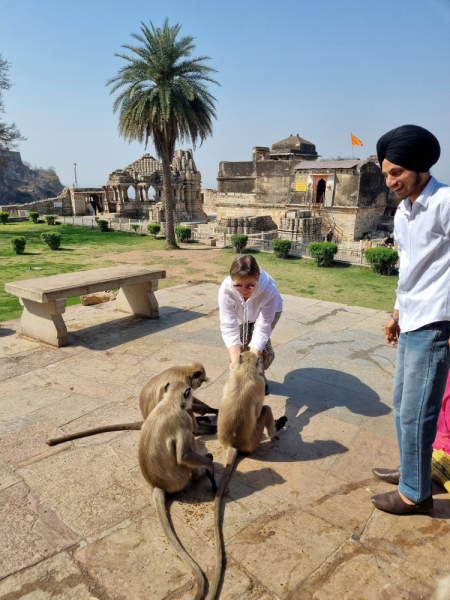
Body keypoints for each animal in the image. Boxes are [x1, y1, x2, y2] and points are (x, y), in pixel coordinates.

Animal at [46, 360, 219, 446]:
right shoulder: (182, 383)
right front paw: (207, 411)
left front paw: (212, 409)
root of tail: (145, 419)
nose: (200, 385)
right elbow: (184, 402)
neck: (183, 372)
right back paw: (200, 428)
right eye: (201, 381)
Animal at [141, 380, 218, 600]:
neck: (169, 402)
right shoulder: (183, 419)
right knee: (189, 443)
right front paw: (210, 467)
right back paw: (201, 473)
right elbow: (183, 455)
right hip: (181, 477)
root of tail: (157, 485)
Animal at [206, 352, 286, 600]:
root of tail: (234, 444)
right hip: (254, 438)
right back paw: (275, 430)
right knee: (266, 410)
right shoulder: (259, 385)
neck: (246, 371)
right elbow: (261, 406)